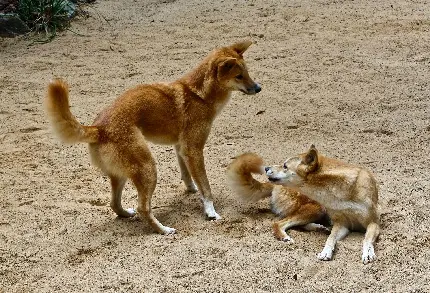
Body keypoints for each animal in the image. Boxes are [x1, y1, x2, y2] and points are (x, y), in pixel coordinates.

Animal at [45, 41, 260, 234]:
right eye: (239, 76)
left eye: (247, 73)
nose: (258, 88)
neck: (199, 94)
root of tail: (99, 128)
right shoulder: (194, 149)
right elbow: (206, 187)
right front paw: (210, 211)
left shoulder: (181, 148)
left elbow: (187, 175)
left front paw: (191, 190)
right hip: (147, 167)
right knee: (143, 208)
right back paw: (163, 230)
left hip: (122, 174)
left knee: (114, 204)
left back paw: (127, 214)